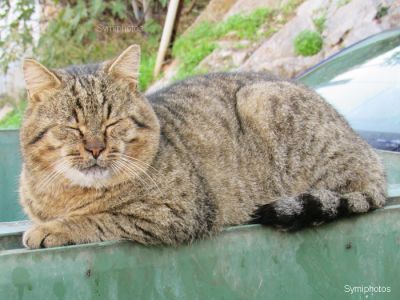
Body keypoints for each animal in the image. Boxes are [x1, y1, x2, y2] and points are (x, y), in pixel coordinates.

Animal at [20, 44, 386, 248]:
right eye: (72, 127)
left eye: (112, 123)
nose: (95, 149)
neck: (67, 193)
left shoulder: (177, 212)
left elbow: (101, 218)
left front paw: (51, 229)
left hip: (263, 100)